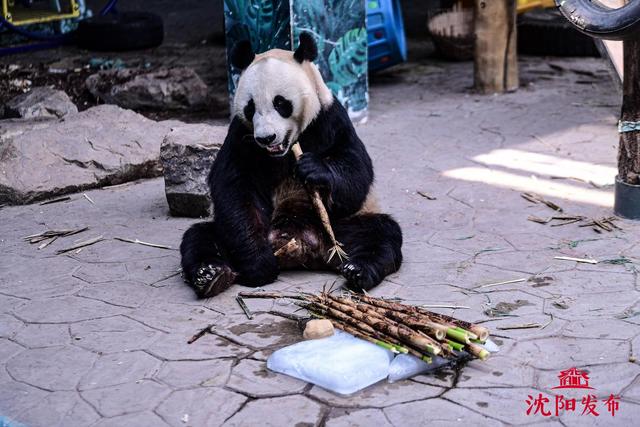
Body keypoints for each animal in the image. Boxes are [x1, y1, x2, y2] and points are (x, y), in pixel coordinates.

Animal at [179, 32, 400, 298]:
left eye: (280, 103)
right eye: (250, 107)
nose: (266, 138)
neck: (285, 150)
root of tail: (302, 247)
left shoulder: (330, 119)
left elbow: (355, 172)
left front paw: (314, 169)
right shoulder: (241, 137)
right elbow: (234, 188)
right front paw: (259, 265)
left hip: (342, 229)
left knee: (381, 235)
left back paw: (358, 271)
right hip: (230, 233)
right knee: (200, 237)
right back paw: (211, 275)